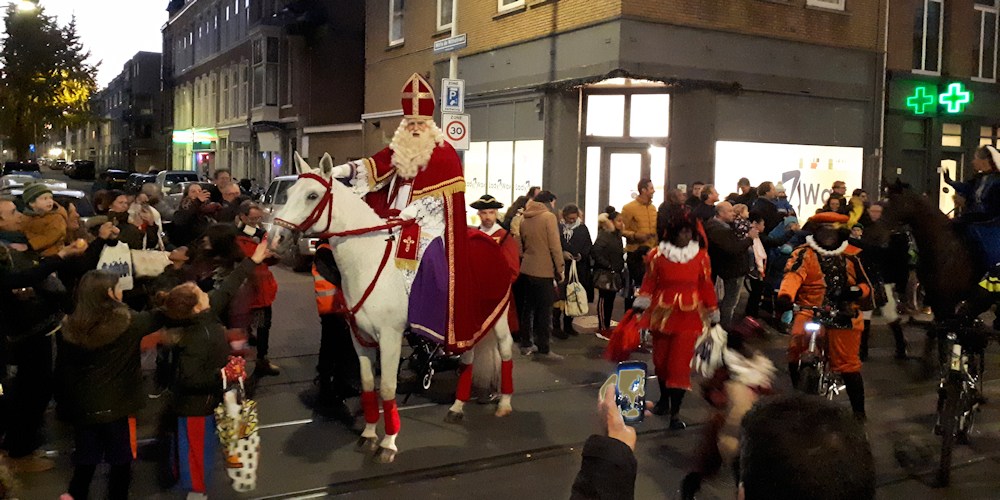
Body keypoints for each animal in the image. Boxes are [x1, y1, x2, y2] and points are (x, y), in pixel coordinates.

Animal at [268, 153, 516, 464]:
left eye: (312, 195)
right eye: (289, 193)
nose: (274, 238)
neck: (369, 260)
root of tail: (489, 239)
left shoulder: (390, 337)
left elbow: (387, 387)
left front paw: (388, 443)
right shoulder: (360, 338)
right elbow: (367, 384)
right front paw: (368, 435)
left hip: (498, 315)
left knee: (505, 350)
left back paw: (504, 403)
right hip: (464, 322)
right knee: (468, 357)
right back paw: (457, 407)